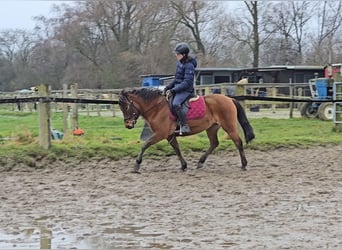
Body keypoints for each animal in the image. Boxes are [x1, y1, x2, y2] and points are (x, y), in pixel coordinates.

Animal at [117, 87, 254, 172]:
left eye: (126, 107)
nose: (128, 125)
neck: (157, 108)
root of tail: (229, 99)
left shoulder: (160, 134)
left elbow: (145, 145)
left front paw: (137, 164)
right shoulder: (169, 135)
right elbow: (177, 149)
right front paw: (183, 165)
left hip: (229, 126)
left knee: (238, 142)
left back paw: (244, 164)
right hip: (212, 128)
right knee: (214, 143)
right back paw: (200, 162)